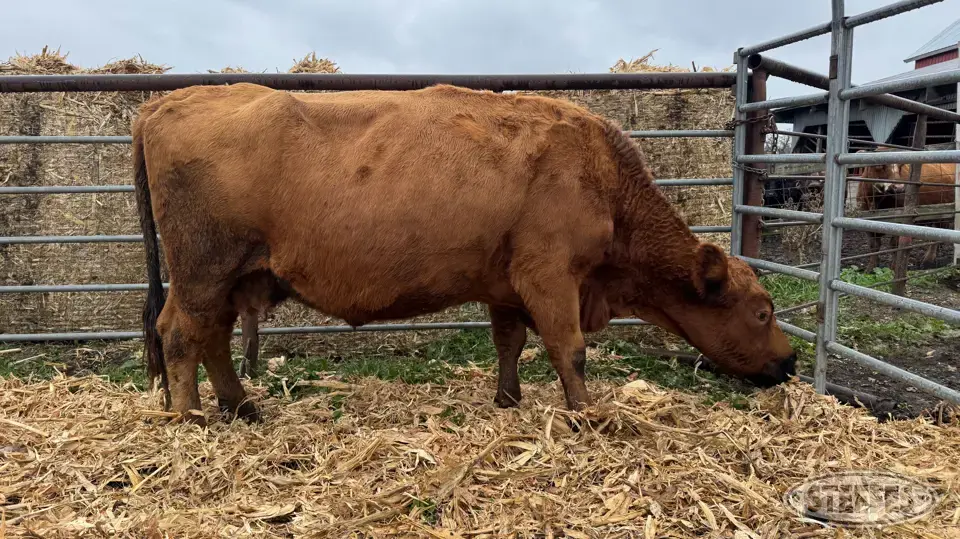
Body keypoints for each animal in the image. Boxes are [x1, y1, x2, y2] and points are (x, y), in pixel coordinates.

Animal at [133, 83, 798, 426]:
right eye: (762, 312)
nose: (790, 363)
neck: (599, 173)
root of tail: (170, 99)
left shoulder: (505, 284)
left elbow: (510, 342)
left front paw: (507, 400)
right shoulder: (550, 275)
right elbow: (570, 350)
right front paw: (588, 416)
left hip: (225, 278)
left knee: (211, 339)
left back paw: (240, 406)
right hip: (203, 271)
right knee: (181, 335)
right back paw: (189, 417)